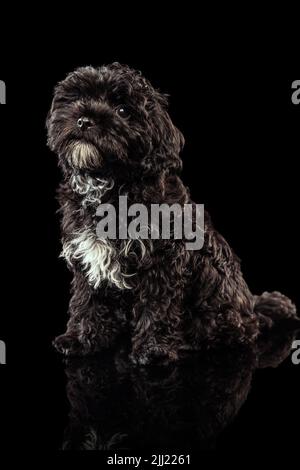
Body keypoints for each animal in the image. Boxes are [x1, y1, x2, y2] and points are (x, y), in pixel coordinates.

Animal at [45, 61, 298, 364]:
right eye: (77, 98)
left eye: (122, 110)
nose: (84, 120)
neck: (110, 184)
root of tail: (251, 307)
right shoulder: (87, 252)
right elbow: (87, 300)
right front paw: (80, 339)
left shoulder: (162, 260)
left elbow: (157, 305)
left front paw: (152, 350)